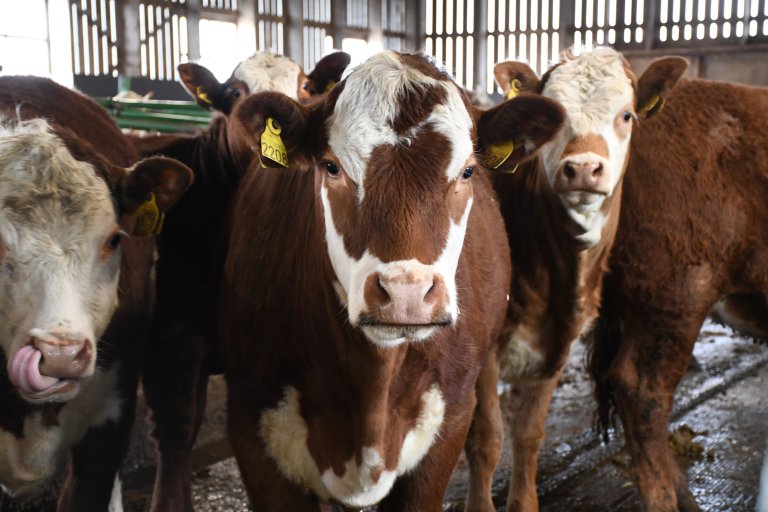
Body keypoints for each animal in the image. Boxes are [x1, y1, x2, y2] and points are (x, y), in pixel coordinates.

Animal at [462, 46, 688, 510]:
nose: (583, 168)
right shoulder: (483, 344)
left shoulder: (558, 342)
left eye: (626, 115)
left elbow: (528, 434)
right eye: (555, 116)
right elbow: (487, 438)